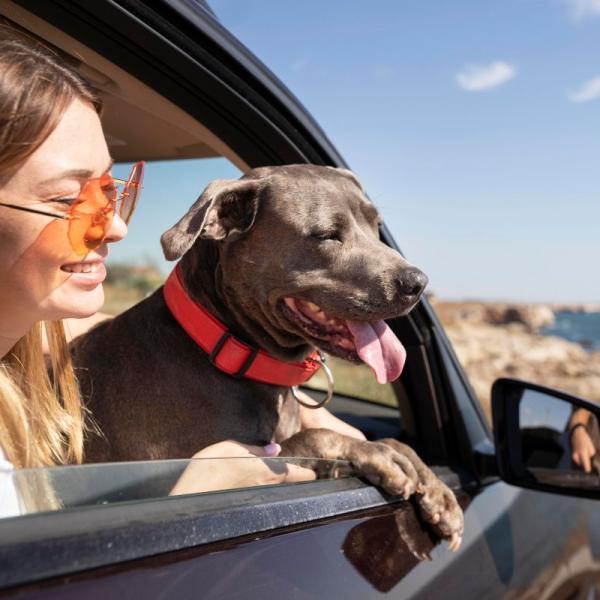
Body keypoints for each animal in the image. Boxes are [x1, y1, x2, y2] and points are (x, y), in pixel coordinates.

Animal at [74, 164, 464, 548]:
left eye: (376, 225)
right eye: (327, 235)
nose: (418, 283)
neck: (223, 347)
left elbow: (393, 442)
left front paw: (434, 487)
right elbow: (314, 437)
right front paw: (377, 454)